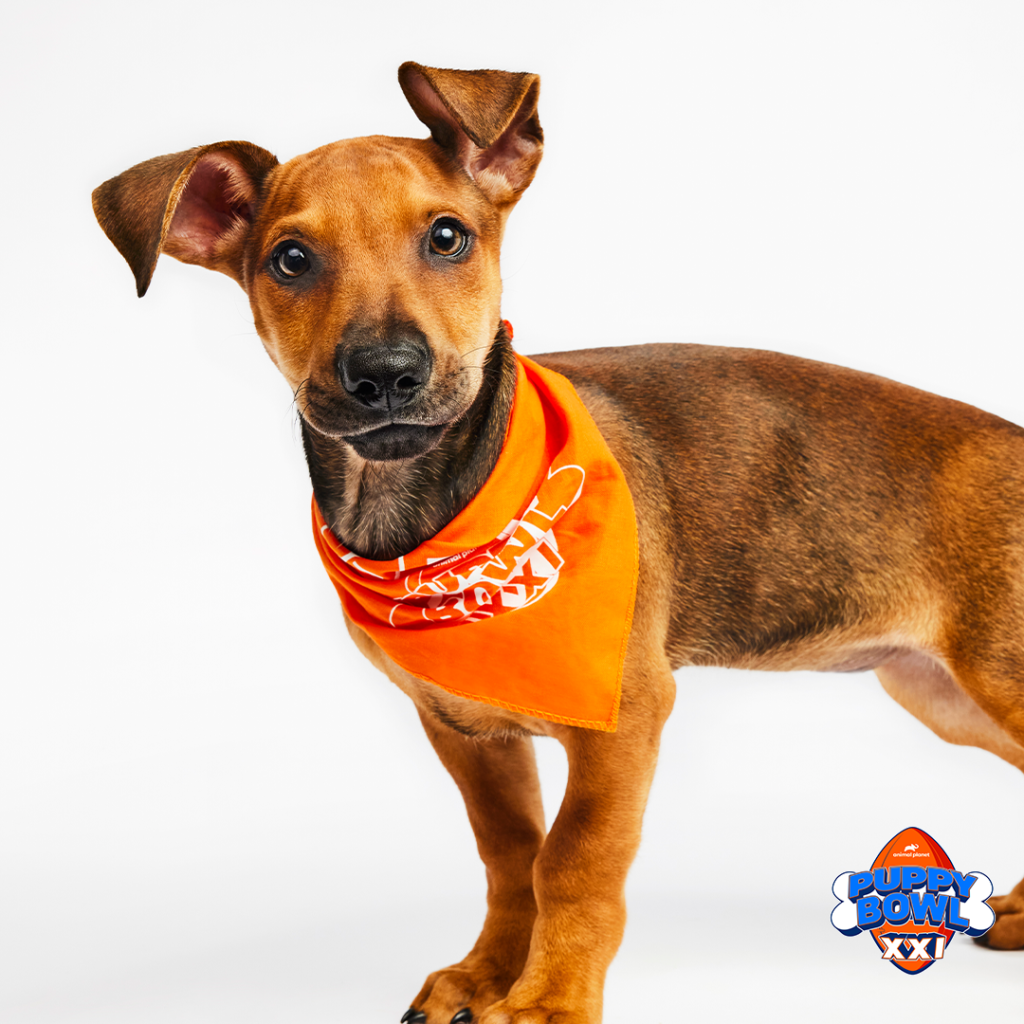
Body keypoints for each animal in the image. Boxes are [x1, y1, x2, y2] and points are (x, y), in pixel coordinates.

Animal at [94, 61, 1024, 1015]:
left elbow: (574, 862)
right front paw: (486, 971)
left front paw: (548, 999)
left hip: (995, 673)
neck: (445, 517)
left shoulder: (625, 719)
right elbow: (513, 855)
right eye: (290, 260)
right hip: (940, 691)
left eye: (448, 237)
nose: (385, 373)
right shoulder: (464, 730)